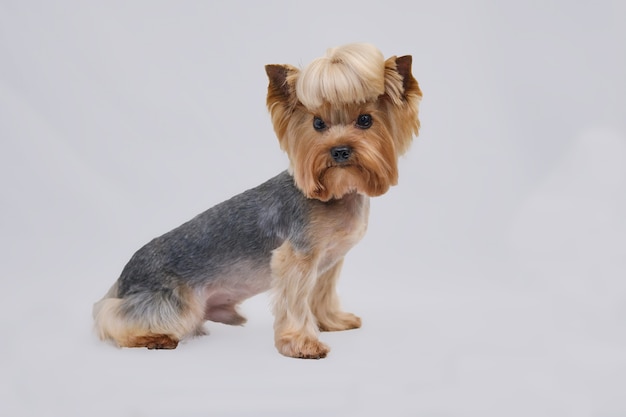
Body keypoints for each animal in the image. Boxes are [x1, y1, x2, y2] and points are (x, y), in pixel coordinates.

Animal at [92, 43, 422, 358]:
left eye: (365, 120)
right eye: (317, 124)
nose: (339, 150)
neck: (336, 193)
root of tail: (121, 280)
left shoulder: (328, 262)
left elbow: (321, 294)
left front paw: (332, 321)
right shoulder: (297, 257)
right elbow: (295, 302)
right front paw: (302, 343)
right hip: (171, 301)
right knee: (111, 320)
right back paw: (153, 337)